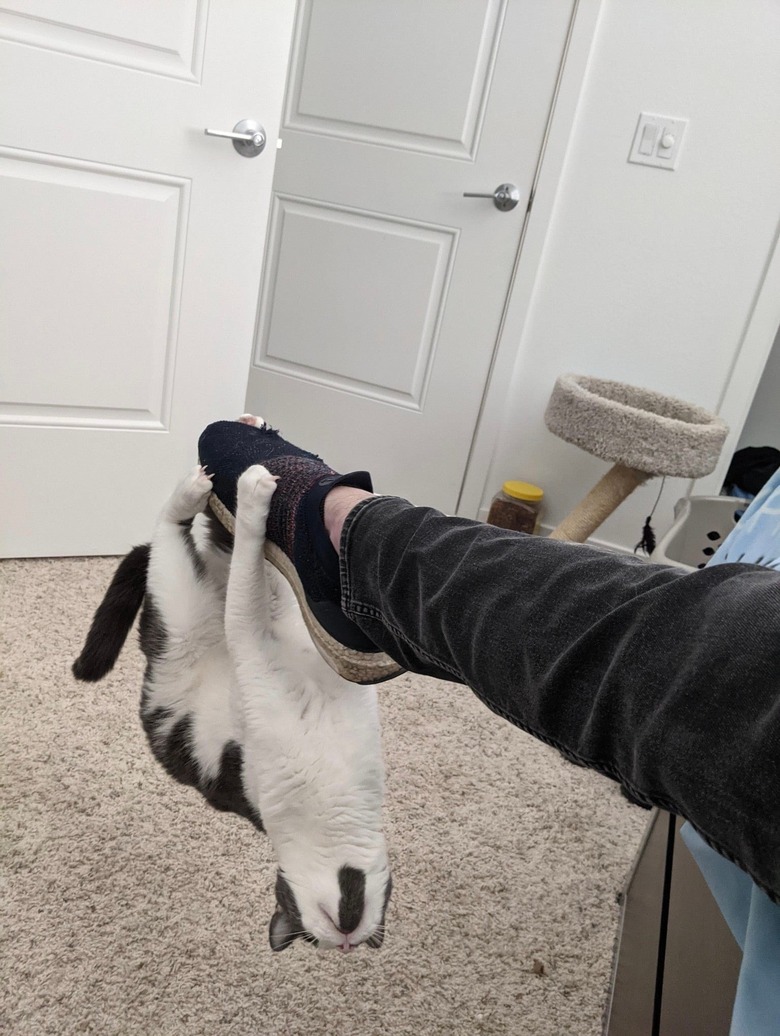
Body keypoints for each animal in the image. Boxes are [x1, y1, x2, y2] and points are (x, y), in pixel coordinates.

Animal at [73, 441, 389, 948]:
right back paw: (210, 484)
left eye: (338, 945)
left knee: (205, 545)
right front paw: (257, 493)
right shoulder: (252, 645)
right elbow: (247, 596)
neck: (338, 795)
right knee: (180, 538)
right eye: (312, 936)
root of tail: (149, 665)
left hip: (196, 598)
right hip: (182, 611)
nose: (343, 942)